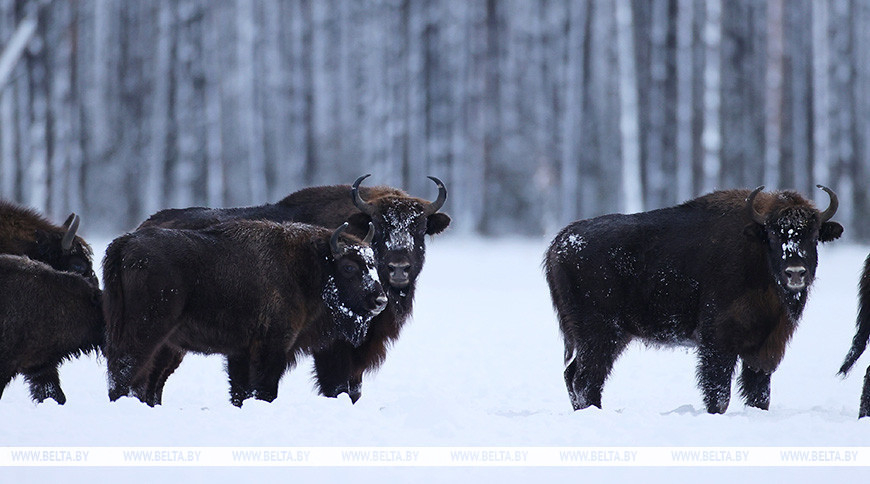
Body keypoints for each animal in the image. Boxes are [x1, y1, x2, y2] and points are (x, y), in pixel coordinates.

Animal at [102, 221, 387, 407]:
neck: (307, 265)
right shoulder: (273, 345)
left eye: (372, 263)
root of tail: (126, 242)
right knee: (126, 369)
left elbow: (240, 390)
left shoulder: (241, 351)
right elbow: (265, 387)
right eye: (349, 267)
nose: (380, 300)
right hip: (148, 331)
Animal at [136, 175, 450, 404]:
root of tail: (143, 226)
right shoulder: (330, 349)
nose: (399, 268)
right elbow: (336, 387)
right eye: (381, 226)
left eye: (420, 228)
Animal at [545, 186, 842, 414]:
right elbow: (719, 391)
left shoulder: (767, 345)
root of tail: (558, 244)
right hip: (600, 335)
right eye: (771, 234)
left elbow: (759, 393)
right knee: (585, 379)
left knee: (575, 376)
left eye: (813, 235)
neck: (757, 255)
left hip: (611, 336)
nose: (796, 273)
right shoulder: (719, 341)